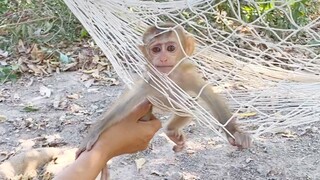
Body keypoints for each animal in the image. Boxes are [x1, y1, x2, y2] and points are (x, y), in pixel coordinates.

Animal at [76, 22, 251, 159]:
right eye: (156, 49)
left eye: (171, 48)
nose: (163, 58)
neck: (169, 77)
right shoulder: (150, 82)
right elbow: (124, 105)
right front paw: (94, 131)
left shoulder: (189, 77)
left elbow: (210, 97)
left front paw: (235, 132)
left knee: (186, 108)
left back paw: (171, 130)